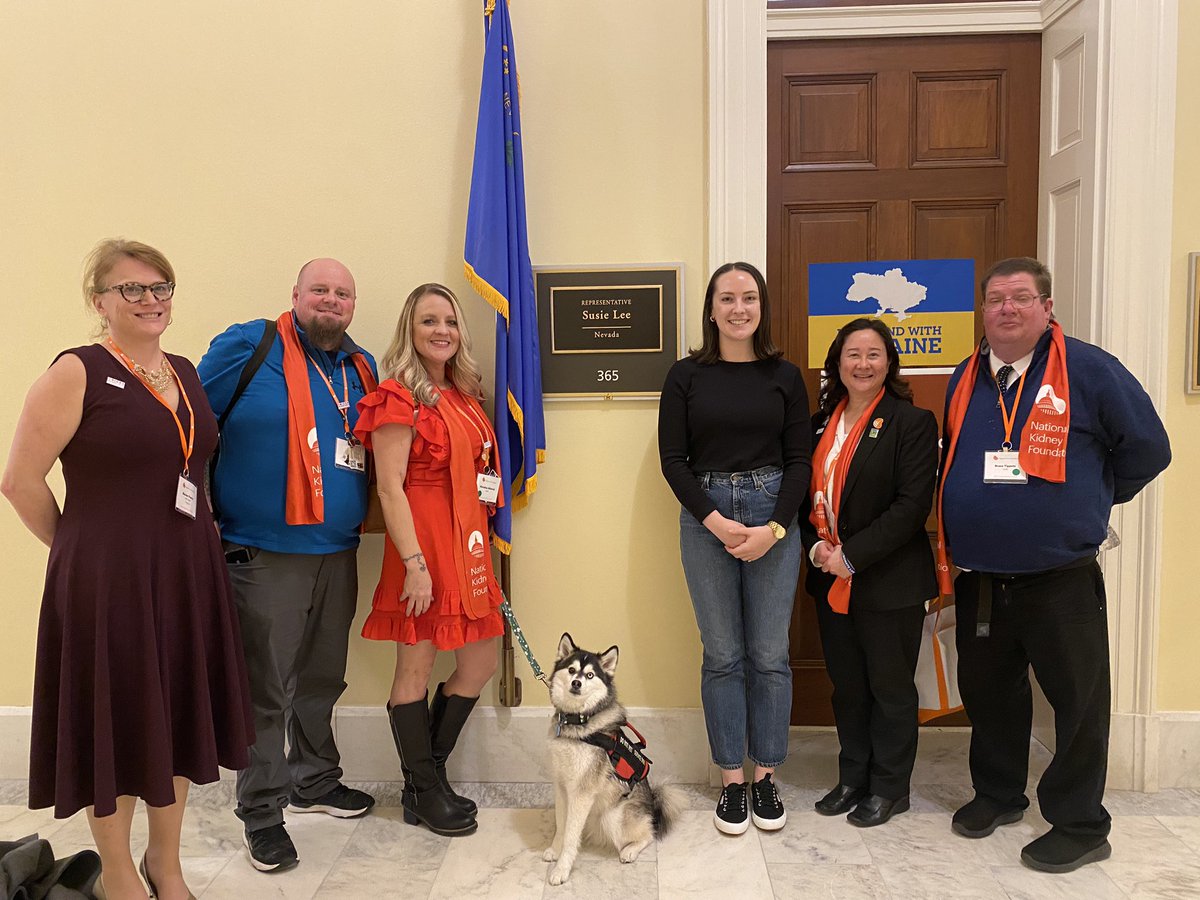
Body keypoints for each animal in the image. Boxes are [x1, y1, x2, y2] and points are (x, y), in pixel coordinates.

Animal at [544, 633, 686, 888]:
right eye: (571, 670)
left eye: (590, 675)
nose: (576, 683)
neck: (578, 722)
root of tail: (652, 804)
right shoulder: (561, 786)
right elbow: (562, 825)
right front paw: (555, 849)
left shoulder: (581, 792)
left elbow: (570, 835)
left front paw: (561, 869)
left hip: (613, 817)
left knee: (649, 833)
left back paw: (630, 850)